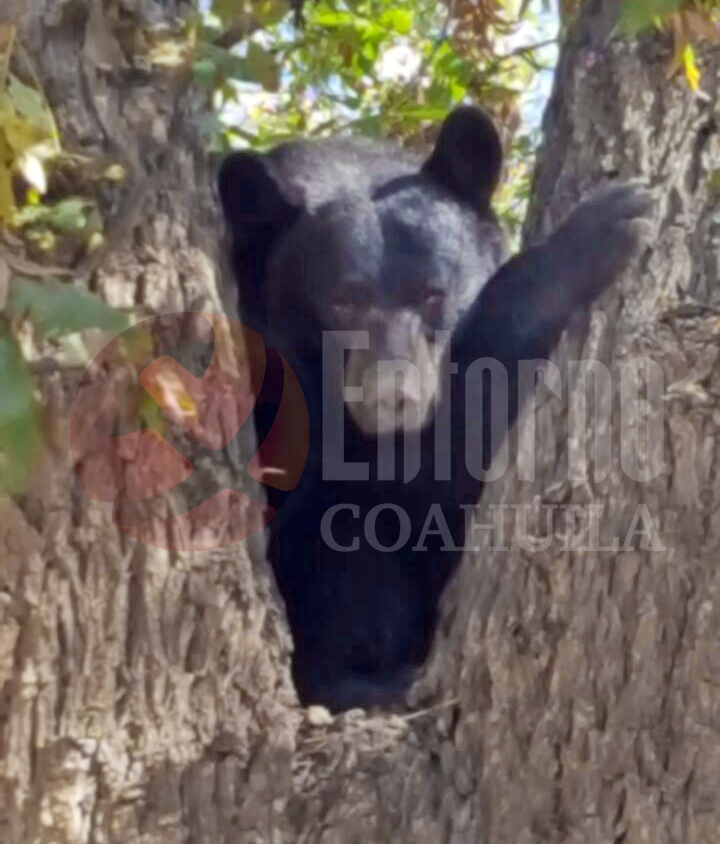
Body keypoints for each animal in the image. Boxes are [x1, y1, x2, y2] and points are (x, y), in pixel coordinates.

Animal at [218, 106, 651, 711]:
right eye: (341, 302)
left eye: (432, 293)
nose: (392, 396)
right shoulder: (277, 389)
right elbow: (418, 465)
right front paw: (602, 226)